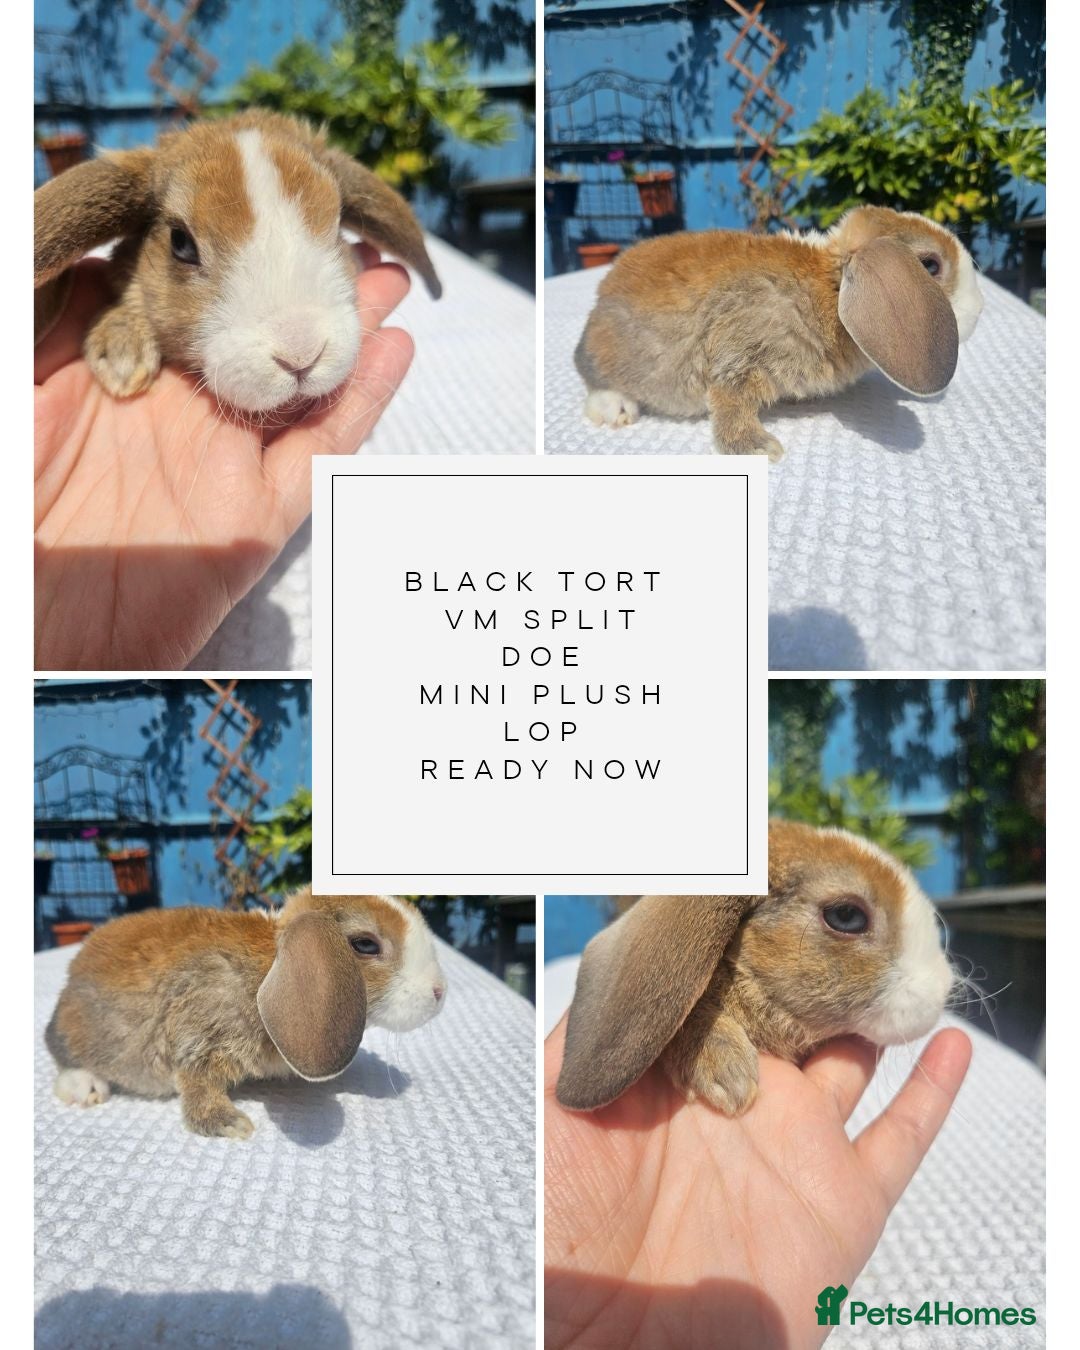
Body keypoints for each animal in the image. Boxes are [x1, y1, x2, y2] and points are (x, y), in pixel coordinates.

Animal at [45, 889, 447, 1139]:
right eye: (365, 944)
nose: (440, 992)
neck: (266, 970)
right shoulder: (199, 1032)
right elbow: (196, 1082)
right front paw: (229, 1124)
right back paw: (86, 1090)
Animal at [573, 206, 984, 460]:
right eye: (930, 266)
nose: (980, 308)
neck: (829, 289)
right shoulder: (739, 350)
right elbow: (729, 403)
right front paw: (758, 449)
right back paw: (616, 410)